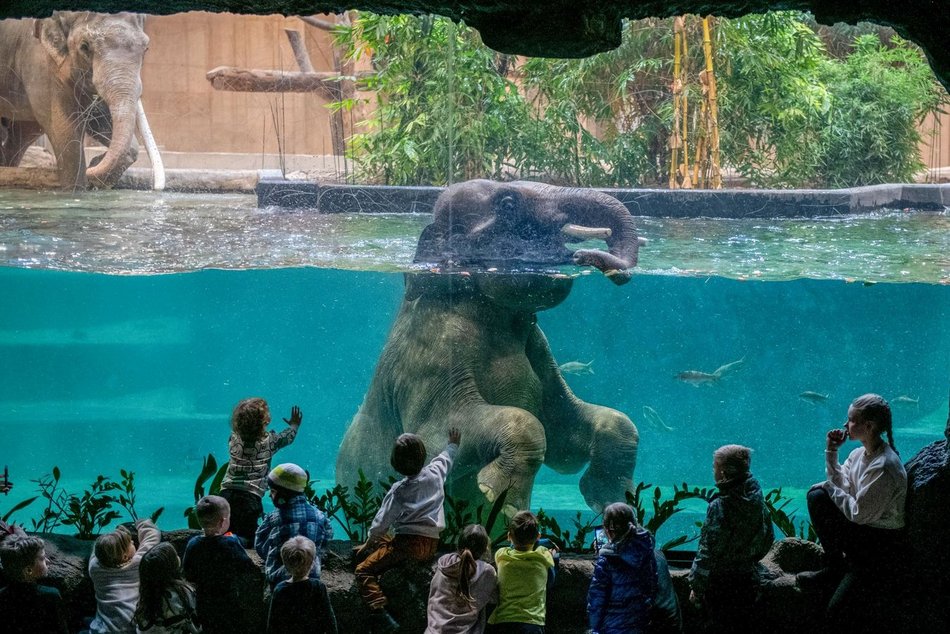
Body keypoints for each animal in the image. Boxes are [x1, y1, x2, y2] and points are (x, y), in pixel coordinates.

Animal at [0, 12, 150, 188]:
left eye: (146, 48)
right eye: (84, 46)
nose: (92, 167)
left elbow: (97, 117)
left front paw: (94, 166)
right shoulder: (37, 60)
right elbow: (66, 131)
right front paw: (78, 186)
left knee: (21, 136)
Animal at [338, 178, 644, 520]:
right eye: (508, 204)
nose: (582, 256)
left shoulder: (540, 352)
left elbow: (574, 434)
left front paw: (612, 500)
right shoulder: (430, 356)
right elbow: (435, 438)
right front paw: (502, 499)